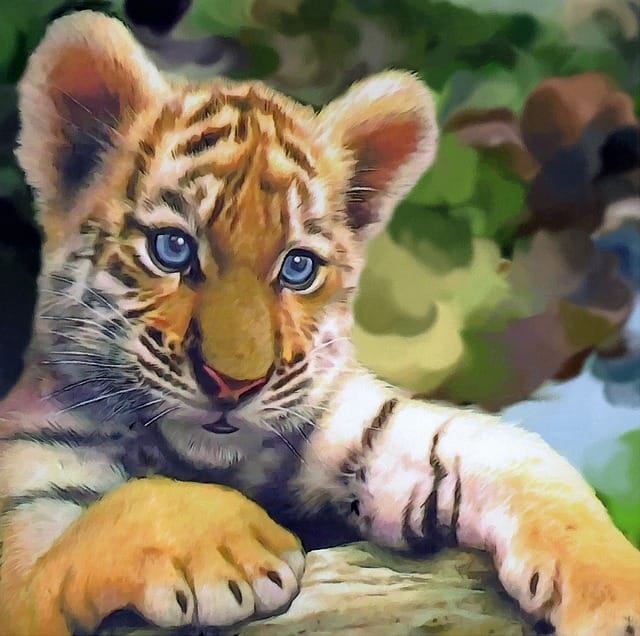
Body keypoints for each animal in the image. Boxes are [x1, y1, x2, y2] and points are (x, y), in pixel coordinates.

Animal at [0, 10, 638, 636]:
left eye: (298, 266)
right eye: (172, 249)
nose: (234, 385)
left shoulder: (364, 424)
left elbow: (512, 454)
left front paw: (616, 588)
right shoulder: (25, 531)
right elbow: (110, 516)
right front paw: (234, 549)